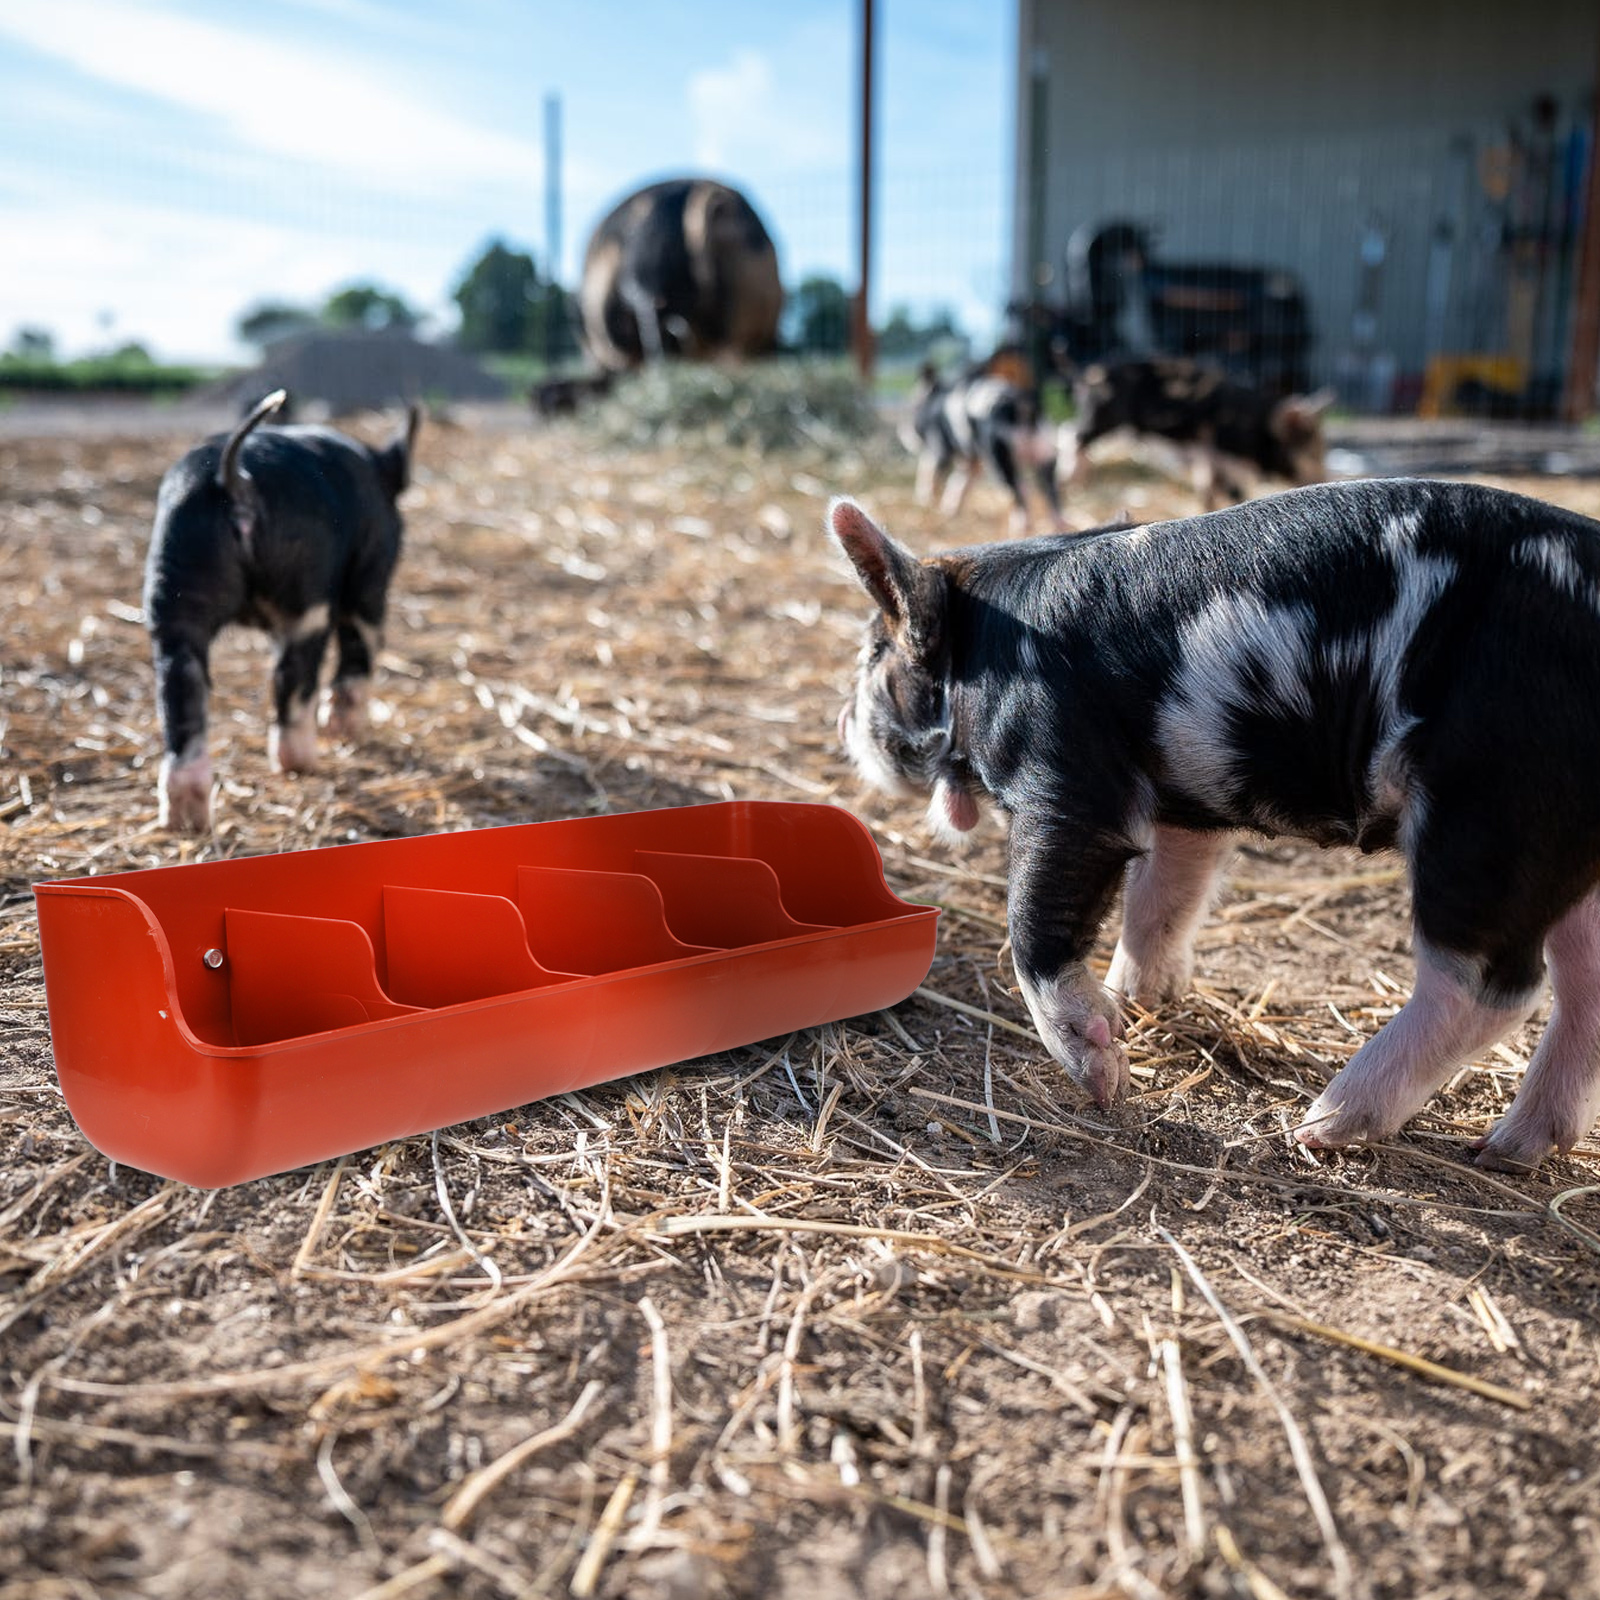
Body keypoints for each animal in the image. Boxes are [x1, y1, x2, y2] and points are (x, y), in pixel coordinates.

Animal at [143, 389, 418, 832]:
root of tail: (237, 479)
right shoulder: (371, 573)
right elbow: (360, 651)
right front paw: (345, 735)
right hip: (307, 596)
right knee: (297, 678)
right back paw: (304, 761)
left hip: (176, 591)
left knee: (180, 688)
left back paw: (187, 822)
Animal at [829, 479, 1600, 1173]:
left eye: (874, 654)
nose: (841, 723)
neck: (984, 645)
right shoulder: (1187, 807)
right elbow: (1163, 899)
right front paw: (1139, 1002)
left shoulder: (1065, 778)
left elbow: (1036, 922)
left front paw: (1104, 1075)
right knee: (1581, 983)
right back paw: (1508, 1151)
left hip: (1489, 801)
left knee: (1490, 985)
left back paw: (1323, 1126)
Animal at [1062, 356, 1333, 507]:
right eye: (1309, 450)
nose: (1324, 477)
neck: (1257, 426)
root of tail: (1089, 375)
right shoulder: (1224, 455)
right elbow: (1232, 491)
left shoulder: (1207, 453)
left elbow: (1207, 488)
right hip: (1101, 418)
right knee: (1073, 435)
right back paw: (1071, 481)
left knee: (1070, 432)